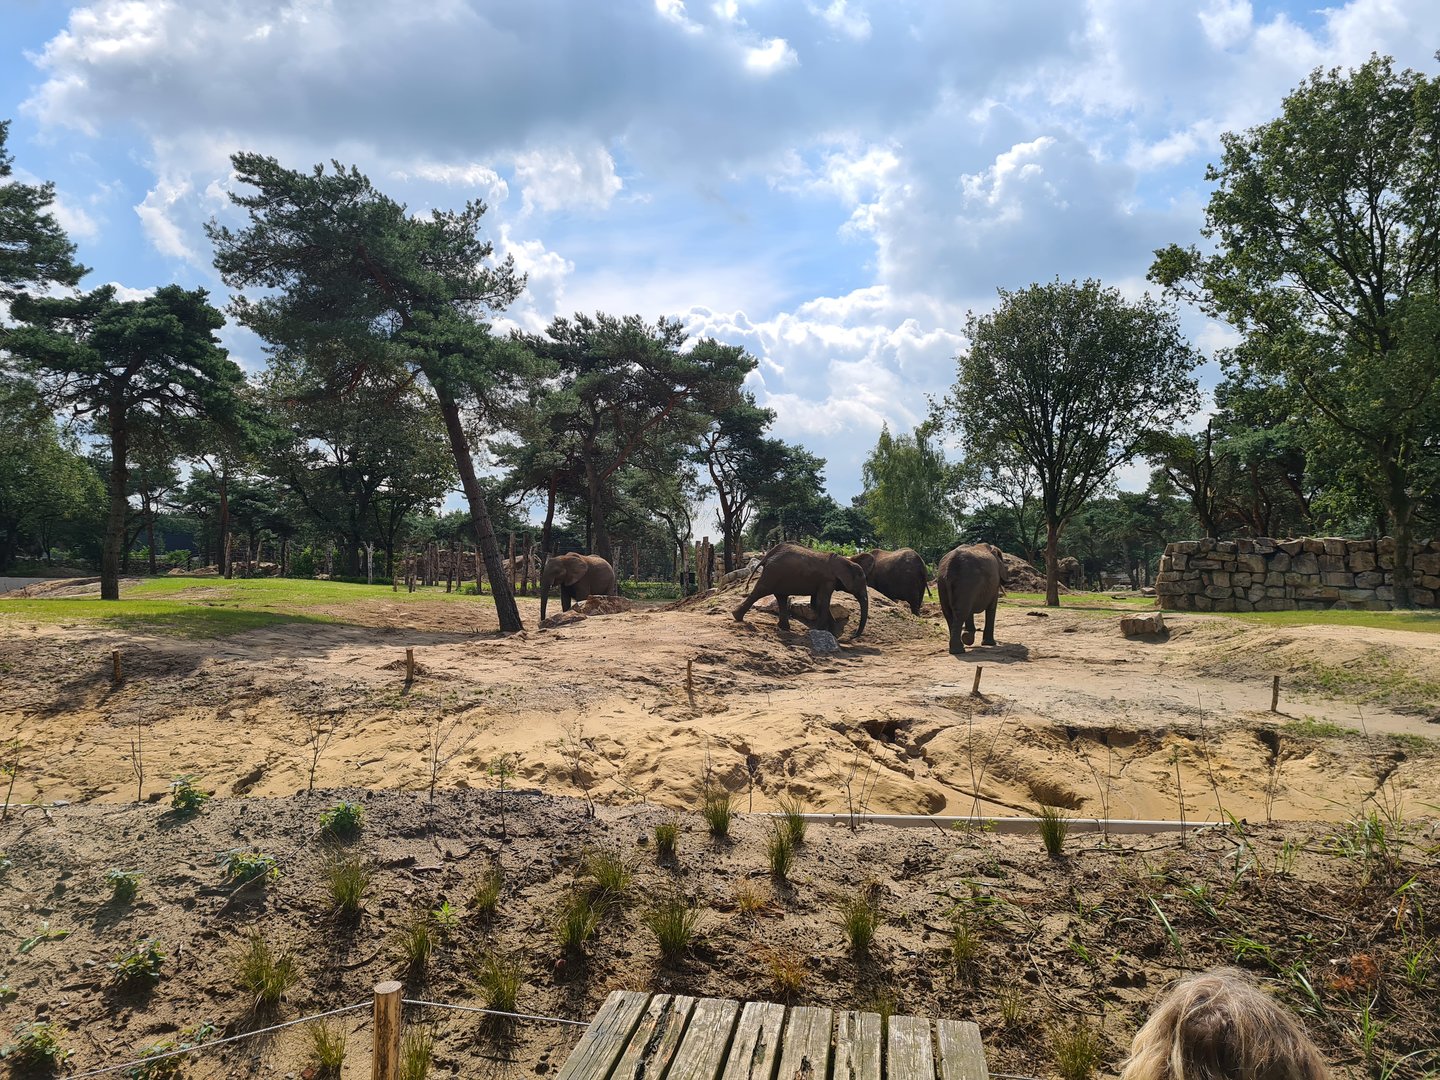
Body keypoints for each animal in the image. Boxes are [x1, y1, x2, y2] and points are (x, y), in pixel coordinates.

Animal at [732, 542, 869, 638]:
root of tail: (768, 555)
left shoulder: (823, 582)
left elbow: (815, 603)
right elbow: (820, 603)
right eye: (862, 583)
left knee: (781, 597)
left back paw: (784, 628)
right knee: (761, 591)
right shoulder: (827, 581)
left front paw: (834, 634)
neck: (844, 561)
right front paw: (822, 632)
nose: (852, 636)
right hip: (773, 573)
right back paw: (737, 617)